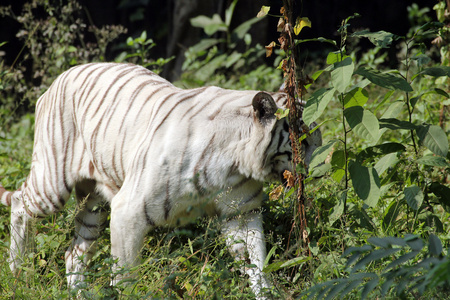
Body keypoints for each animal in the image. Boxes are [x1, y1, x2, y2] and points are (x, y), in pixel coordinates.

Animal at [0, 62, 324, 298]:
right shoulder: (128, 211)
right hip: (52, 184)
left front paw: (266, 293)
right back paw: (17, 271)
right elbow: (125, 275)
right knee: (19, 203)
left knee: (73, 253)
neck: (236, 162)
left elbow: (257, 260)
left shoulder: (242, 211)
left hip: (94, 204)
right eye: (303, 139)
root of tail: (58, 79)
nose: (319, 163)